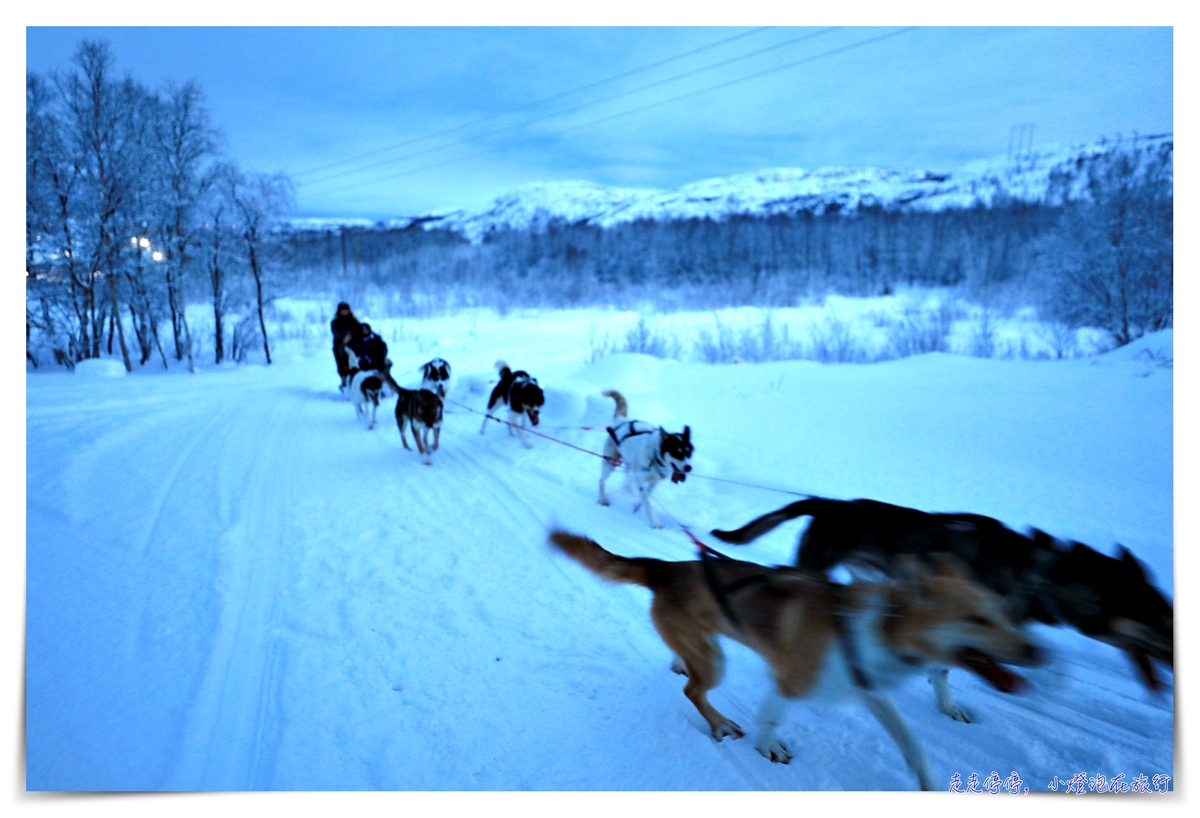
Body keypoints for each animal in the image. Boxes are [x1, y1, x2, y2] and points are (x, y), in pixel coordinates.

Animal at [547, 527, 1041, 791]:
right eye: (976, 618)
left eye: (1005, 612)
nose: (1037, 650)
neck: (874, 629)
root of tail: (665, 567)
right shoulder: (788, 682)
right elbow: (771, 718)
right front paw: (769, 747)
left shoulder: (870, 691)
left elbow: (912, 744)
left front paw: (930, 785)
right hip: (717, 662)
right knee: (694, 692)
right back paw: (720, 723)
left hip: (704, 645)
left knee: (687, 670)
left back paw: (678, 663)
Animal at [600, 388, 696, 527]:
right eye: (677, 453)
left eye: (689, 453)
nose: (689, 468)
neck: (654, 457)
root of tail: (622, 421)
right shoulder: (642, 480)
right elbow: (648, 503)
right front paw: (655, 523)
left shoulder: (654, 481)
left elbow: (647, 496)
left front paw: (636, 507)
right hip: (610, 463)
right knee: (601, 481)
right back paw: (603, 499)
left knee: (628, 477)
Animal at [710, 496, 1171, 719]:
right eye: (1158, 619)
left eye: (1168, 612)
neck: (1036, 573)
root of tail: (831, 502)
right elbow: (950, 666)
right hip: (814, 566)